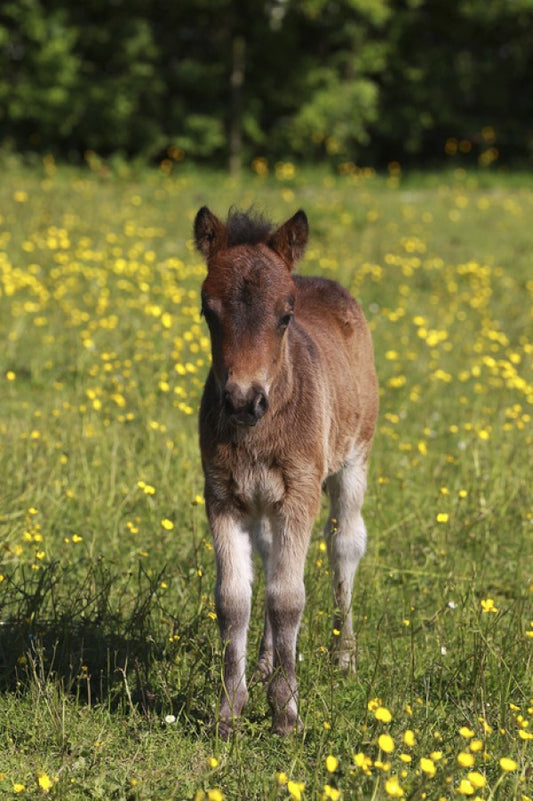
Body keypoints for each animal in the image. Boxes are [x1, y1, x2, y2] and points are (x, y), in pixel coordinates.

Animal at [193, 208, 376, 736]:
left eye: (286, 315)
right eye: (208, 312)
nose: (242, 401)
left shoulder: (300, 494)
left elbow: (287, 597)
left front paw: (286, 713)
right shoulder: (223, 497)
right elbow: (234, 599)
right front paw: (230, 710)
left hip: (354, 460)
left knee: (344, 544)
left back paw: (344, 658)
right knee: (271, 555)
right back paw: (264, 662)